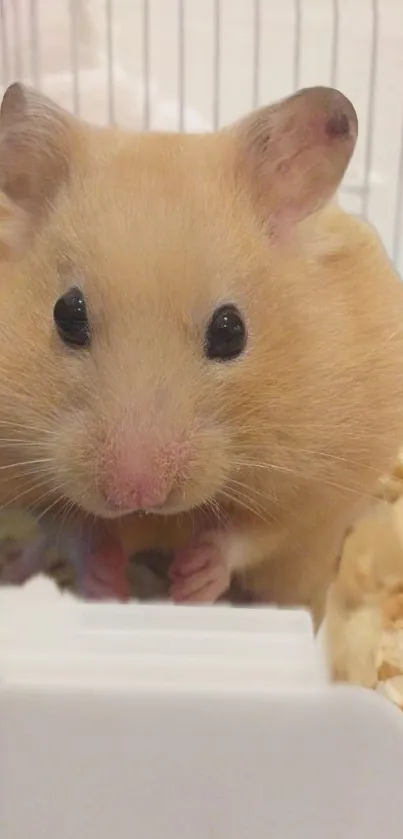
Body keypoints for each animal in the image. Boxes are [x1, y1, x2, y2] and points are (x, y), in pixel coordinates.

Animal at [0, 82, 403, 628]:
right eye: (66, 314)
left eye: (231, 331)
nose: (136, 493)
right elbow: (69, 528)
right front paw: (108, 586)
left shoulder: (319, 484)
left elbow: (253, 534)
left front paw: (191, 582)